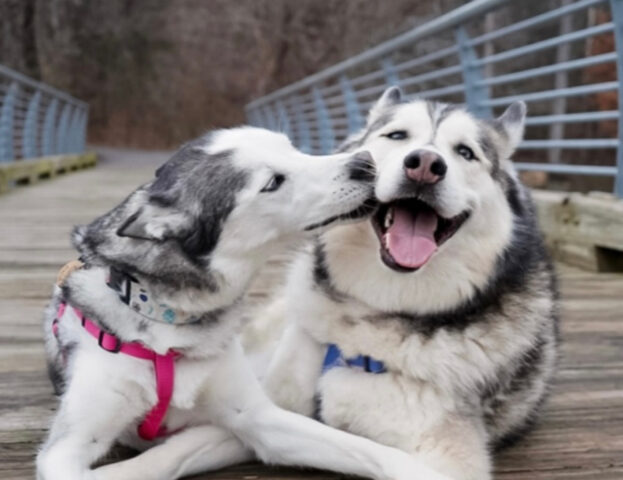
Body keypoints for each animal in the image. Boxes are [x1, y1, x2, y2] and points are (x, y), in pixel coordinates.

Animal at [36, 126, 454, 480]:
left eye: (292, 147)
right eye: (273, 182)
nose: (364, 162)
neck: (165, 321)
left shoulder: (257, 417)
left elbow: (368, 450)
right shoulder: (66, 452)